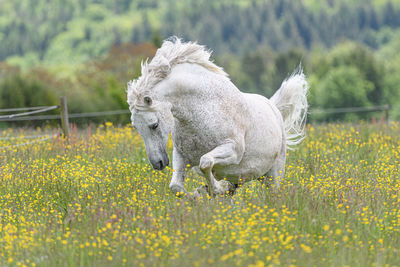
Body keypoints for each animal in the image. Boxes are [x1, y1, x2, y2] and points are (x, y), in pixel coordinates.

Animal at [126, 37, 308, 197]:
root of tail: (273, 108)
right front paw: (200, 193)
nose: (158, 163)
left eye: (154, 124)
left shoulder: (233, 150)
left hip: (273, 176)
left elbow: (205, 162)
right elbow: (176, 187)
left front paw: (214, 189)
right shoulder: (182, 156)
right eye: (136, 128)